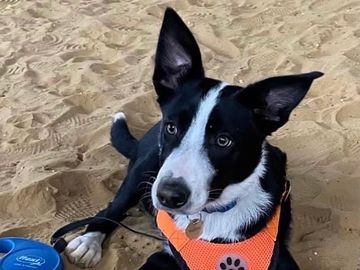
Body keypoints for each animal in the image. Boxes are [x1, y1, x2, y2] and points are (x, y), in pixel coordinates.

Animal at [64, 7, 324, 268]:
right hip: (142, 171)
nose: (169, 196)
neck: (213, 213)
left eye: (223, 140)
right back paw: (88, 241)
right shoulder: (165, 255)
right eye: (171, 128)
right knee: (112, 209)